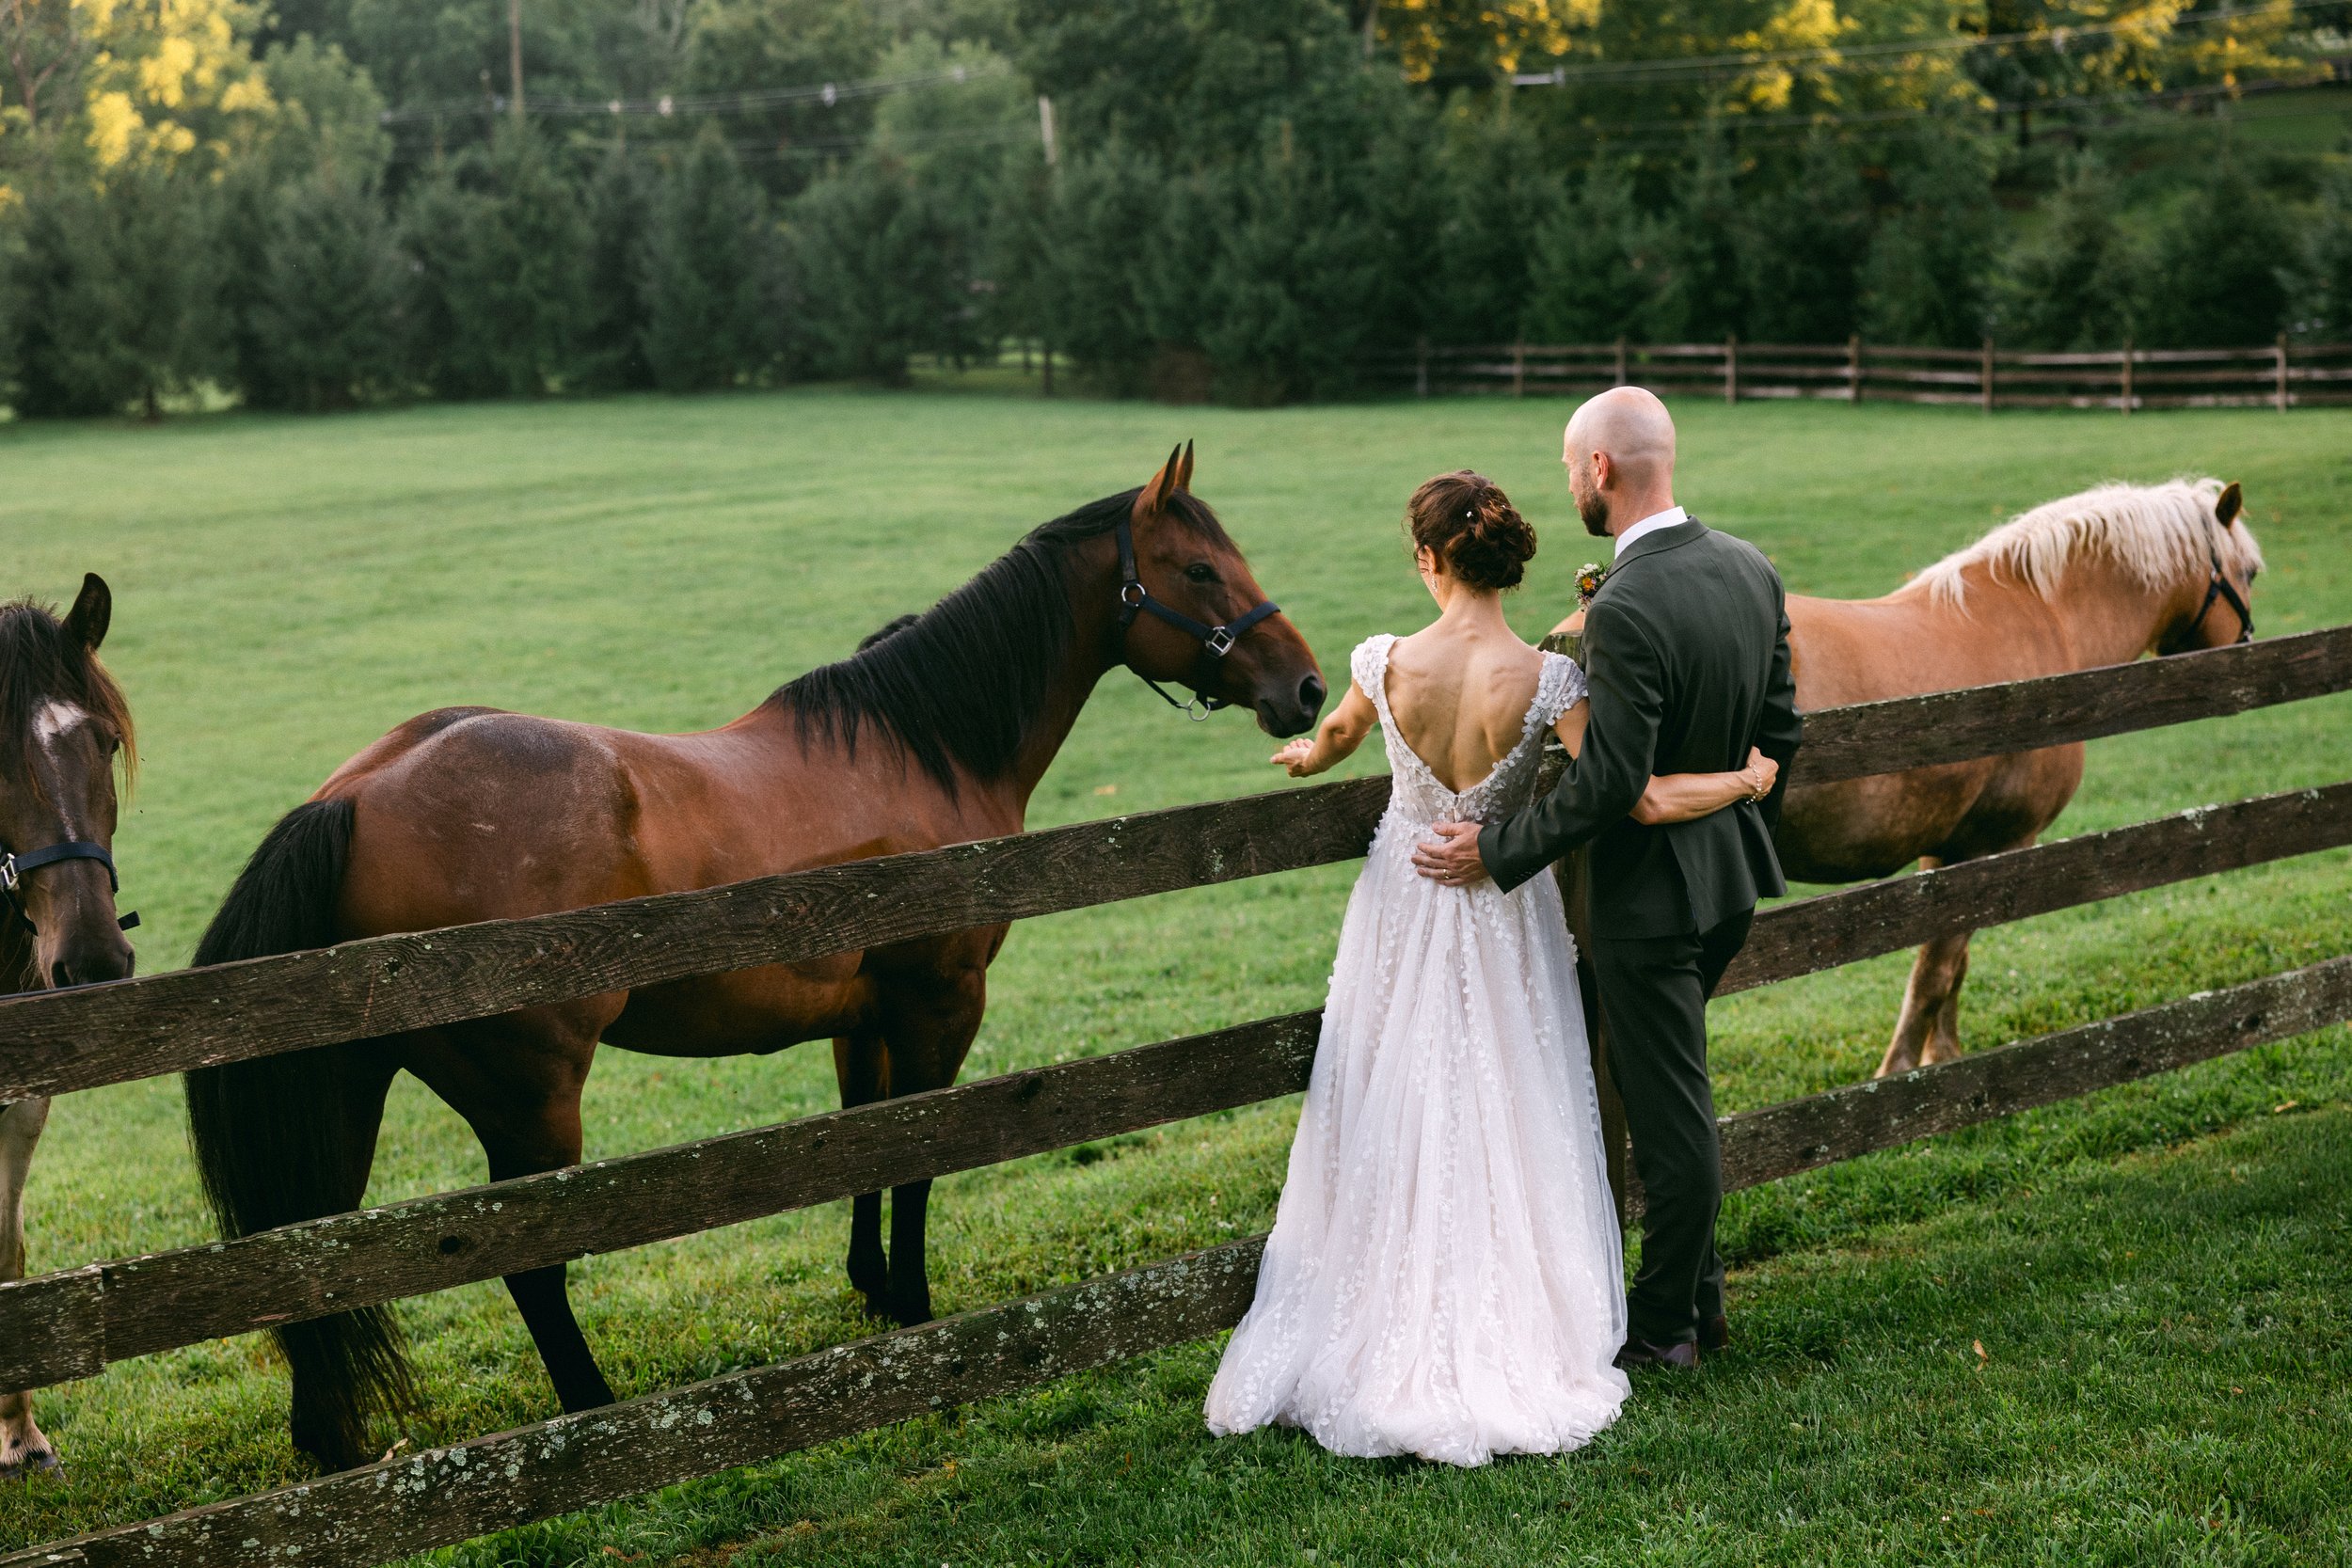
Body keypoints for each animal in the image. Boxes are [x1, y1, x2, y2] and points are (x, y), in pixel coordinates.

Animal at [183, 446, 1327, 1476]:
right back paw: (592, 1414)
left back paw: (332, 1443)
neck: (922, 747)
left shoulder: (863, 1019)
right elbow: (917, 1158)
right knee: (530, 1266)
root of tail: (352, 796)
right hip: (530, 1102)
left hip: (348, 1091)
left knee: (305, 1263)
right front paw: (918, 1314)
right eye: (1199, 570)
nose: (1308, 688)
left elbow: (864, 1145)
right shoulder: (939, 1003)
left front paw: (875, 1288)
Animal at [1778, 479, 2258, 1081]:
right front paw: (1906, 1072)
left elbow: (1950, 967)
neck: (2046, 615)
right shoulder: (1990, 845)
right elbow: (1935, 972)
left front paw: (1941, 1054)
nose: (2248, 645)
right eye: (2251, 572)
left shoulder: (1948, 848)